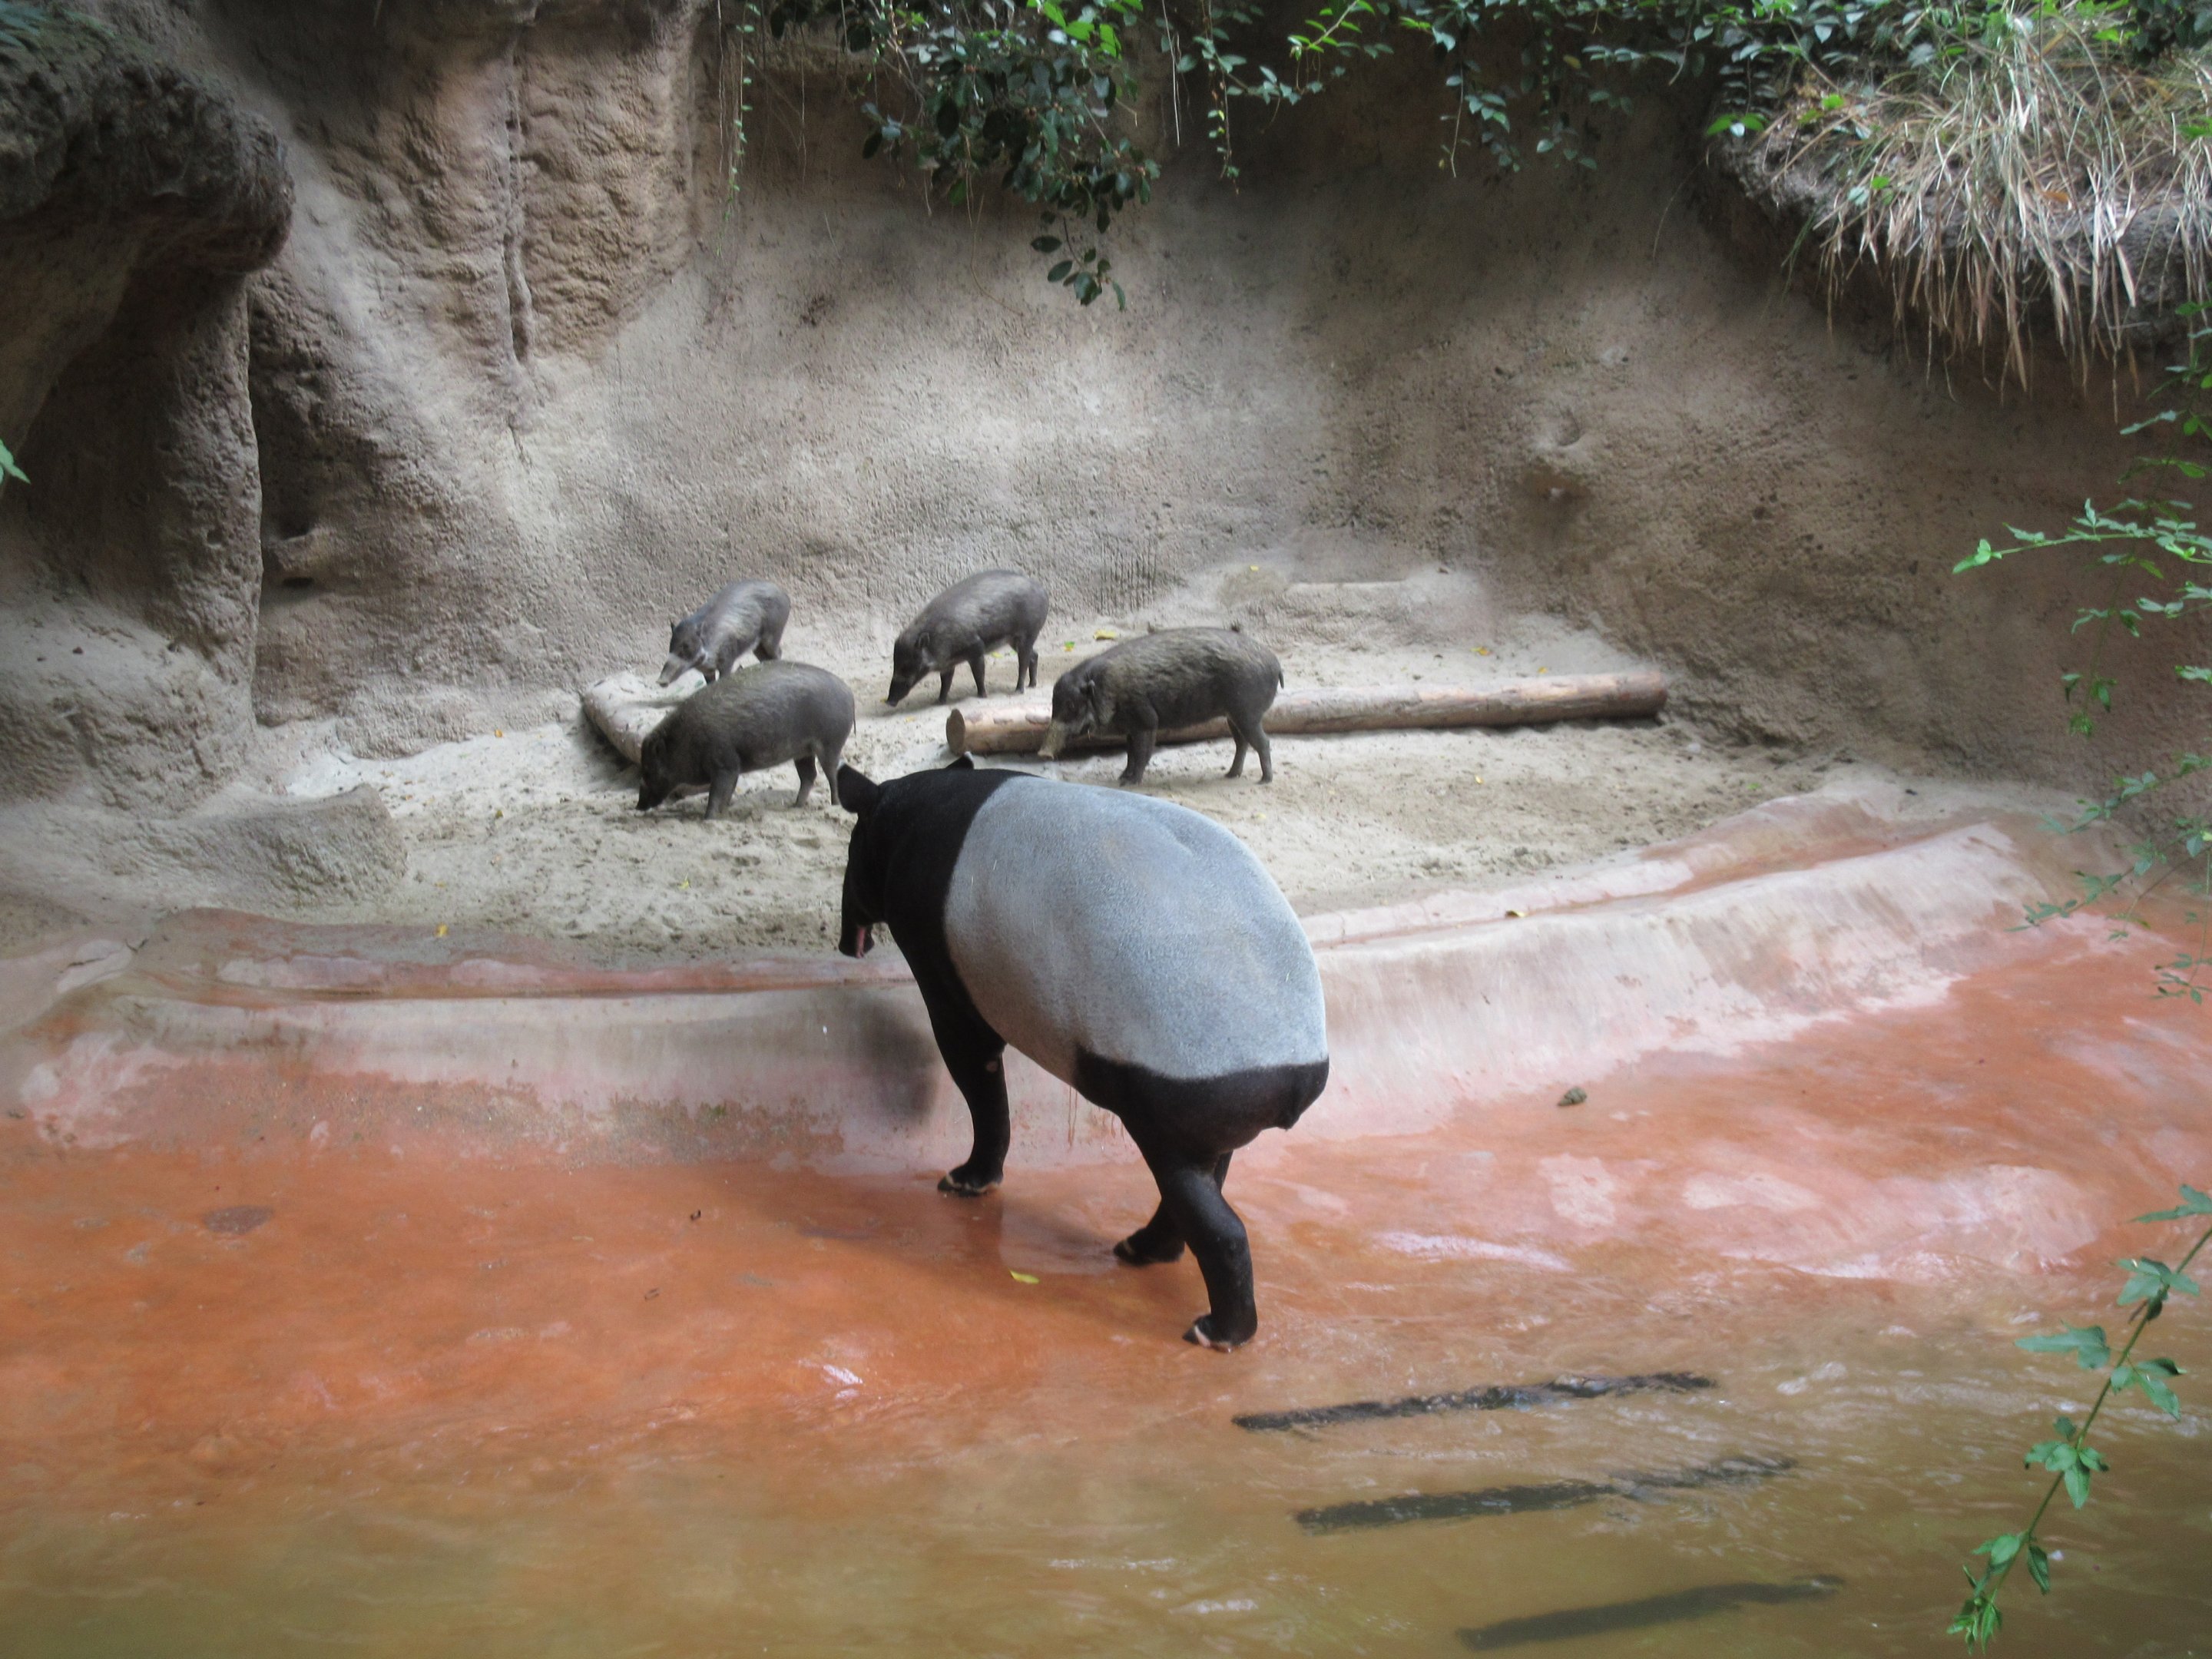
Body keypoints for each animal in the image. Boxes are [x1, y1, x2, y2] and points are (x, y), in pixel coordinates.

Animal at [638, 660, 854, 817]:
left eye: (648, 770)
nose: (638, 806)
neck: (685, 739)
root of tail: (848, 693)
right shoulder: (733, 768)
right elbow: (727, 793)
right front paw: (723, 813)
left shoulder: (725, 765)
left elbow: (716, 794)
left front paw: (708, 818)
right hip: (802, 752)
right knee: (809, 776)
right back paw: (795, 806)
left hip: (830, 744)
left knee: (832, 773)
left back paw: (834, 804)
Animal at [659, 580, 792, 685]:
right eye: (671, 645)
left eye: (686, 645)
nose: (660, 681)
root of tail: (785, 595)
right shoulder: (707, 671)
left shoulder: (728, 658)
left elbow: (724, 676)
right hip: (757, 646)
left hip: (773, 634)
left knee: (778, 652)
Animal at [835, 757, 1329, 1349]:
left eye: (850, 861)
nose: (847, 942)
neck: (906, 810)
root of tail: (1294, 1067)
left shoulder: (943, 966)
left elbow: (977, 1076)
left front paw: (967, 1180)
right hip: (1212, 1101)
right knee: (1208, 1174)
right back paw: (1140, 1249)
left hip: (1169, 1080)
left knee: (1211, 1215)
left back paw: (1216, 1329)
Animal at [887, 570, 1049, 705]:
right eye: (895, 662)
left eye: (908, 664)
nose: (889, 701)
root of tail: (1043, 591)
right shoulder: (948, 664)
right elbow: (946, 682)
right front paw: (939, 701)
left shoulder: (976, 648)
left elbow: (979, 675)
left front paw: (982, 696)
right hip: (1014, 641)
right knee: (1035, 655)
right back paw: (1032, 685)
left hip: (1028, 634)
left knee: (1024, 662)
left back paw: (1018, 690)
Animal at [1038, 626, 1282, 786]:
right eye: (1053, 703)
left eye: (1071, 705)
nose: (1043, 753)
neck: (1109, 689)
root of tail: (1276, 665)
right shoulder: (1130, 727)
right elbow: (1130, 753)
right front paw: (1122, 777)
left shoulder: (1146, 721)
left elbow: (1142, 753)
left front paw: (1130, 783)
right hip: (1232, 716)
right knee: (1242, 743)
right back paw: (1230, 775)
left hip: (1247, 712)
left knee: (1263, 742)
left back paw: (1264, 781)